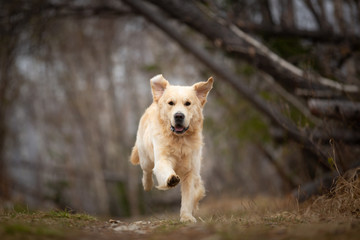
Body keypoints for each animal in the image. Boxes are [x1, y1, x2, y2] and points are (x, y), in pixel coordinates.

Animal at [131, 74, 212, 222]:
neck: (179, 140)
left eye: (188, 103)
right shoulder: (162, 159)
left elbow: (188, 196)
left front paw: (187, 216)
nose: (179, 116)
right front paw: (171, 179)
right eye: (171, 103)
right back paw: (147, 184)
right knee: (147, 170)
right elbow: (164, 170)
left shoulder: (191, 171)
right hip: (145, 157)